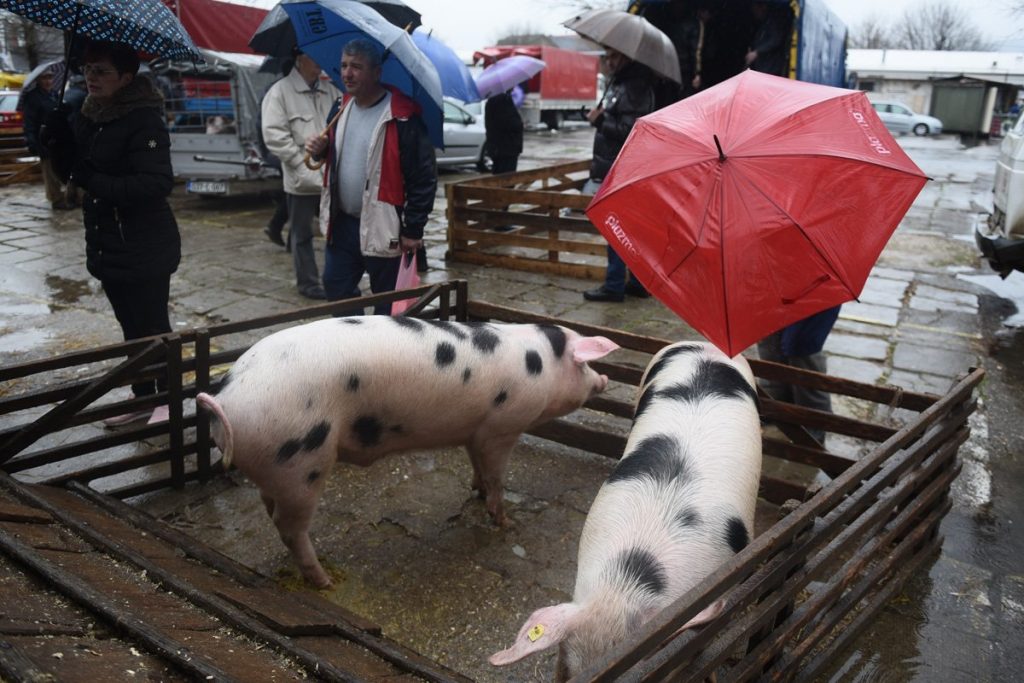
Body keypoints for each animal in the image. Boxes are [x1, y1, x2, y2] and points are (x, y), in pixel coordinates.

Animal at [196, 315, 618, 589]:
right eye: (584, 365)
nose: (604, 378)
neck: (541, 361)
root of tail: (226, 399)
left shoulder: (475, 430)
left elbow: (478, 465)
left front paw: (476, 491)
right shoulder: (502, 427)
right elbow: (497, 475)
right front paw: (505, 522)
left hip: (277, 468)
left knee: (270, 508)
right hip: (302, 463)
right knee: (290, 528)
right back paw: (325, 582)